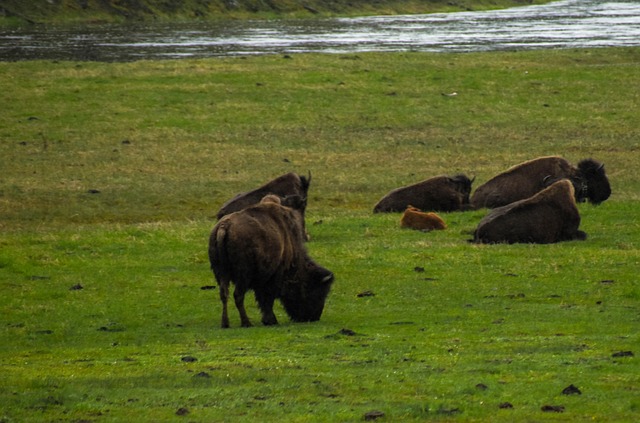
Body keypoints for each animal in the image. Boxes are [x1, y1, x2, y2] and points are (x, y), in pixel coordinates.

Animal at [209, 196, 335, 328]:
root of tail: (224, 227)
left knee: (224, 294)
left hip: (221, 274)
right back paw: (246, 323)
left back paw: (225, 323)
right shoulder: (273, 277)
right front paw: (271, 320)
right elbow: (267, 299)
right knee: (238, 295)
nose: (314, 317)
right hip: (243, 276)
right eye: (317, 292)